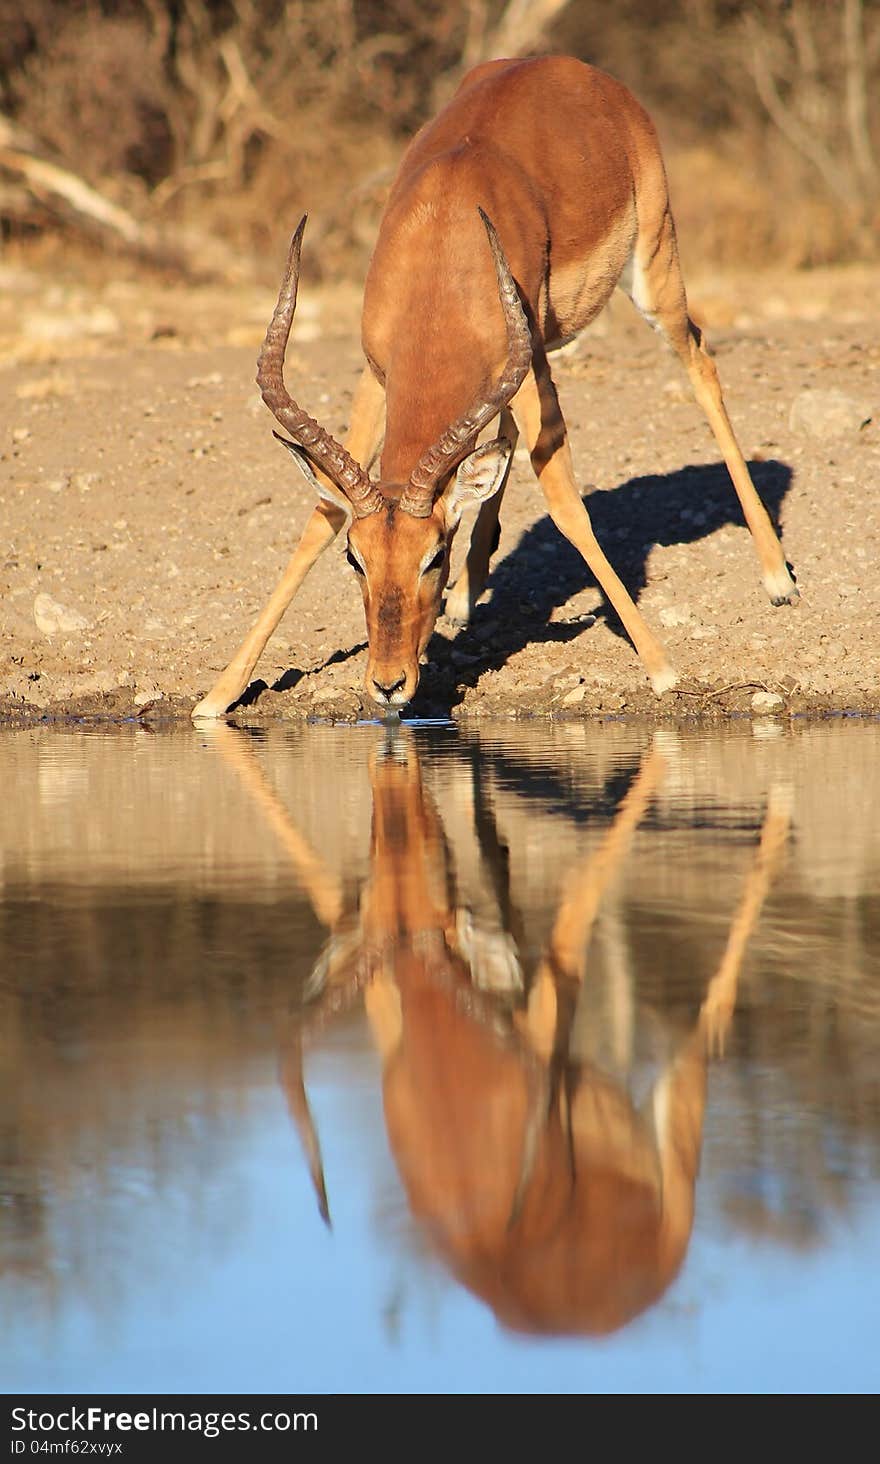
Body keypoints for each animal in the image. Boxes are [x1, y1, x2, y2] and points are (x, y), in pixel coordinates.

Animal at [190, 54, 796, 717]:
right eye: (357, 559)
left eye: (433, 556)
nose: (388, 684)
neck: (441, 241)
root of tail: (575, 70)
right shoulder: (376, 375)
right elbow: (319, 516)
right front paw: (217, 695)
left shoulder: (526, 369)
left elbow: (567, 507)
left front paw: (661, 669)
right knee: (497, 442)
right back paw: (468, 594)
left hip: (655, 269)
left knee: (701, 364)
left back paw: (777, 579)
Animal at [210, 723, 790, 1341]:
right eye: (375, 866)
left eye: (433, 872)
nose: (395, 788)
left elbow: (579, 880)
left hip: (675, 1136)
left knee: (709, 1021)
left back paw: (777, 810)